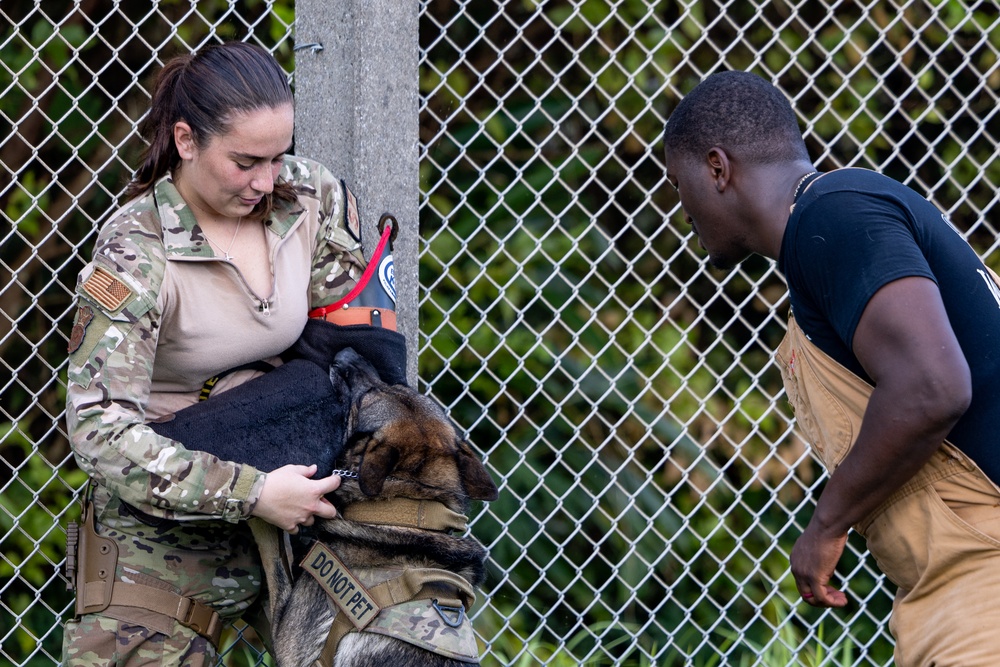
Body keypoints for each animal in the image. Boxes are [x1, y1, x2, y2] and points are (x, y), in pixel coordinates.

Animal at [266, 350, 500, 667]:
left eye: (367, 395)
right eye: (397, 386)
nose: (347, 352)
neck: (404, 512)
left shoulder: (288, 646)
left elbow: (272, 555)